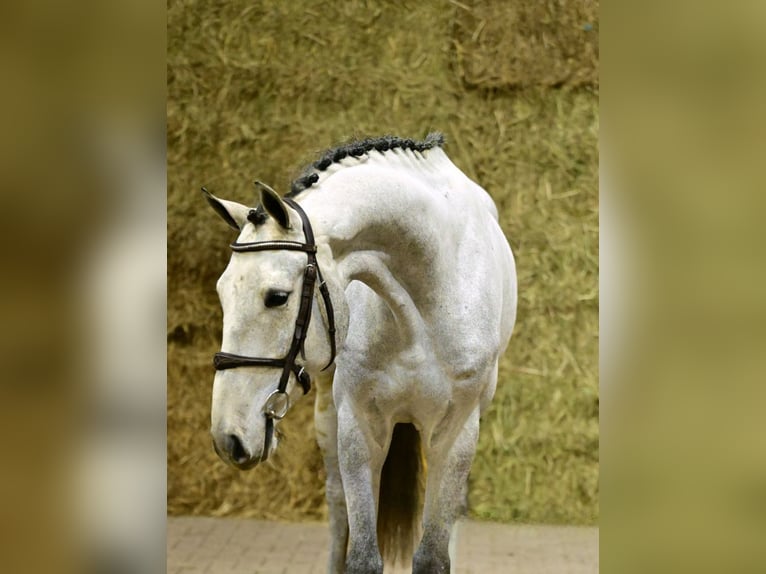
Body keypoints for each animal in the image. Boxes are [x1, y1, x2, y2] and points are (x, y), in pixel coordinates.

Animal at [204, 133, 517, 573]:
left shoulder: (456, 432)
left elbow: (434, 555)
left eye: (276, 297)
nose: (227, 438)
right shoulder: (359, 425)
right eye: (222, 293)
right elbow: (363, 555)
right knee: (338, 507)